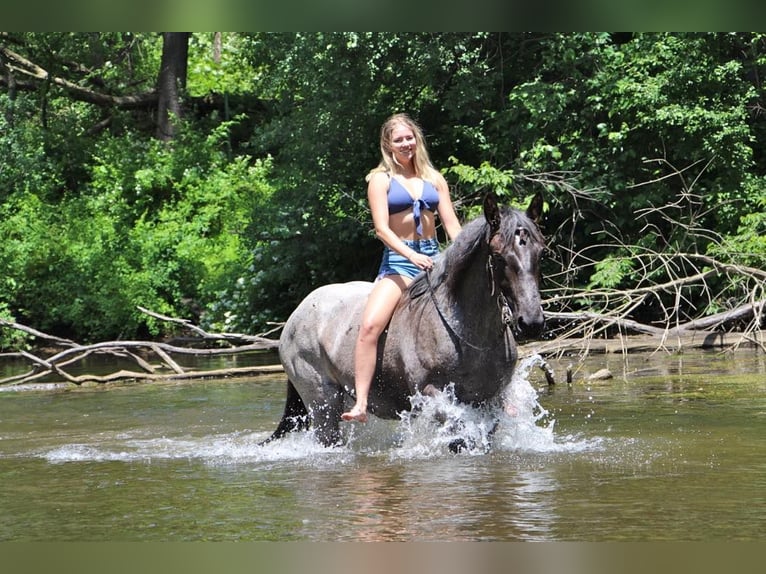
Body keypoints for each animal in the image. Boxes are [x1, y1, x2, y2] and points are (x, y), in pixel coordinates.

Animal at [264, 194, 544, 450]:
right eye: (498, 256)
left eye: (540, 252)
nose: (531, 322)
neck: (467, 334)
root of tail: (294, 318)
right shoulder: (432, 393)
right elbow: (459, 430)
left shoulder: (491, 399)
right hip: (323, 404)